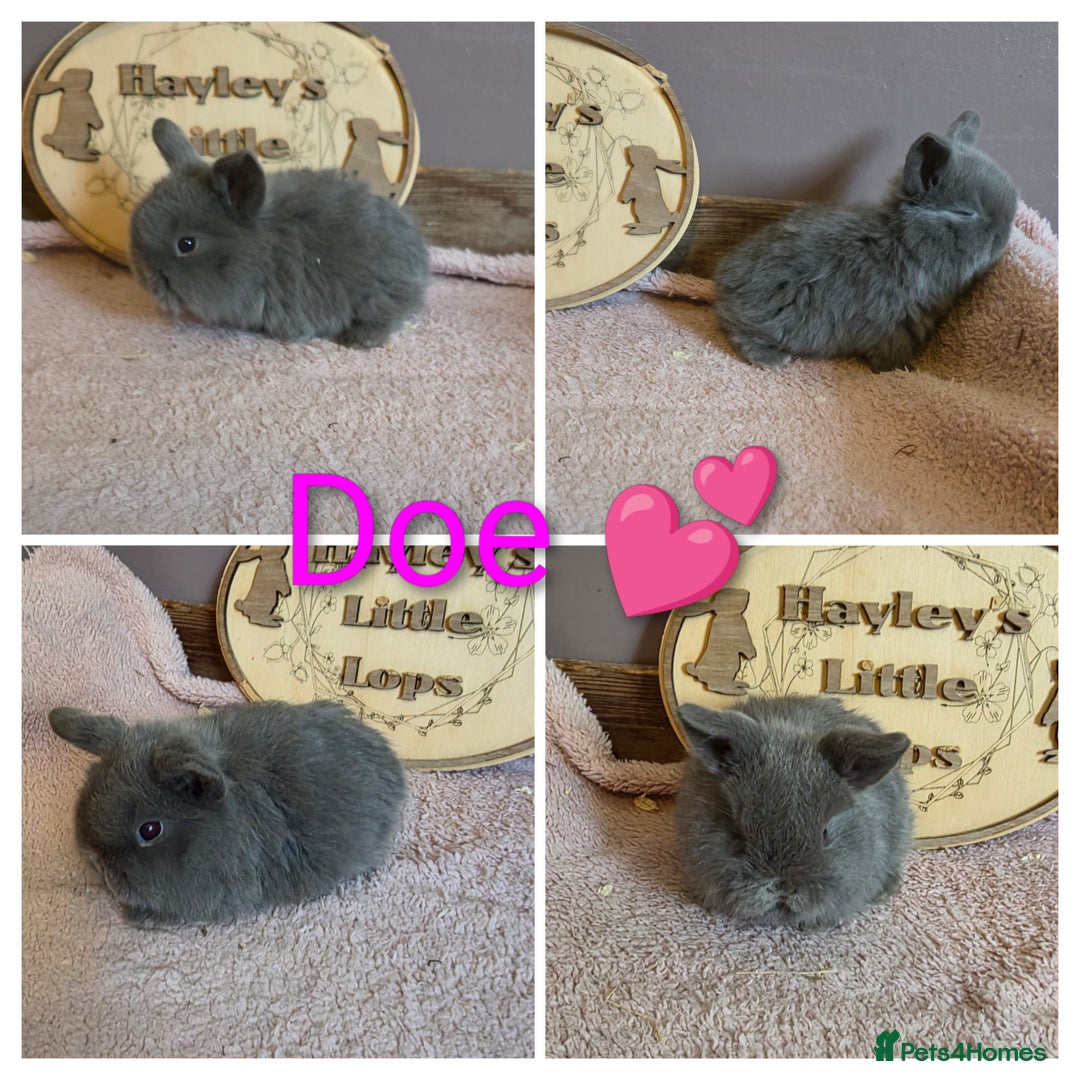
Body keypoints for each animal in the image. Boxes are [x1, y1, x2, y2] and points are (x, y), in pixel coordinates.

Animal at [712, 111, 1018, 372]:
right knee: (737, 329)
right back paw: (772, 360)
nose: (1004, 237)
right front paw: (904, 370)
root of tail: (724, 281)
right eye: (964, 213)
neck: (905, 246)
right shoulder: (896, 326)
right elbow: (891, 357)